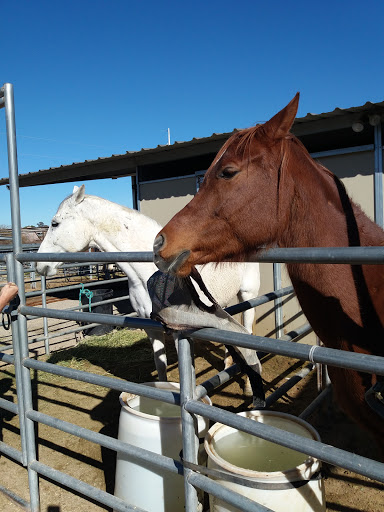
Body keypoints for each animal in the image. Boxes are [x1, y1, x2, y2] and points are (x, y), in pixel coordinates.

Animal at [36, 186, 260, 382]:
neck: (150, 273)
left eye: (55, 223)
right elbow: (160, 363)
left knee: (248, 332)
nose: (40, 265)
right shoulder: (151, 327)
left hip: (247, 295)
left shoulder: (180, 332)